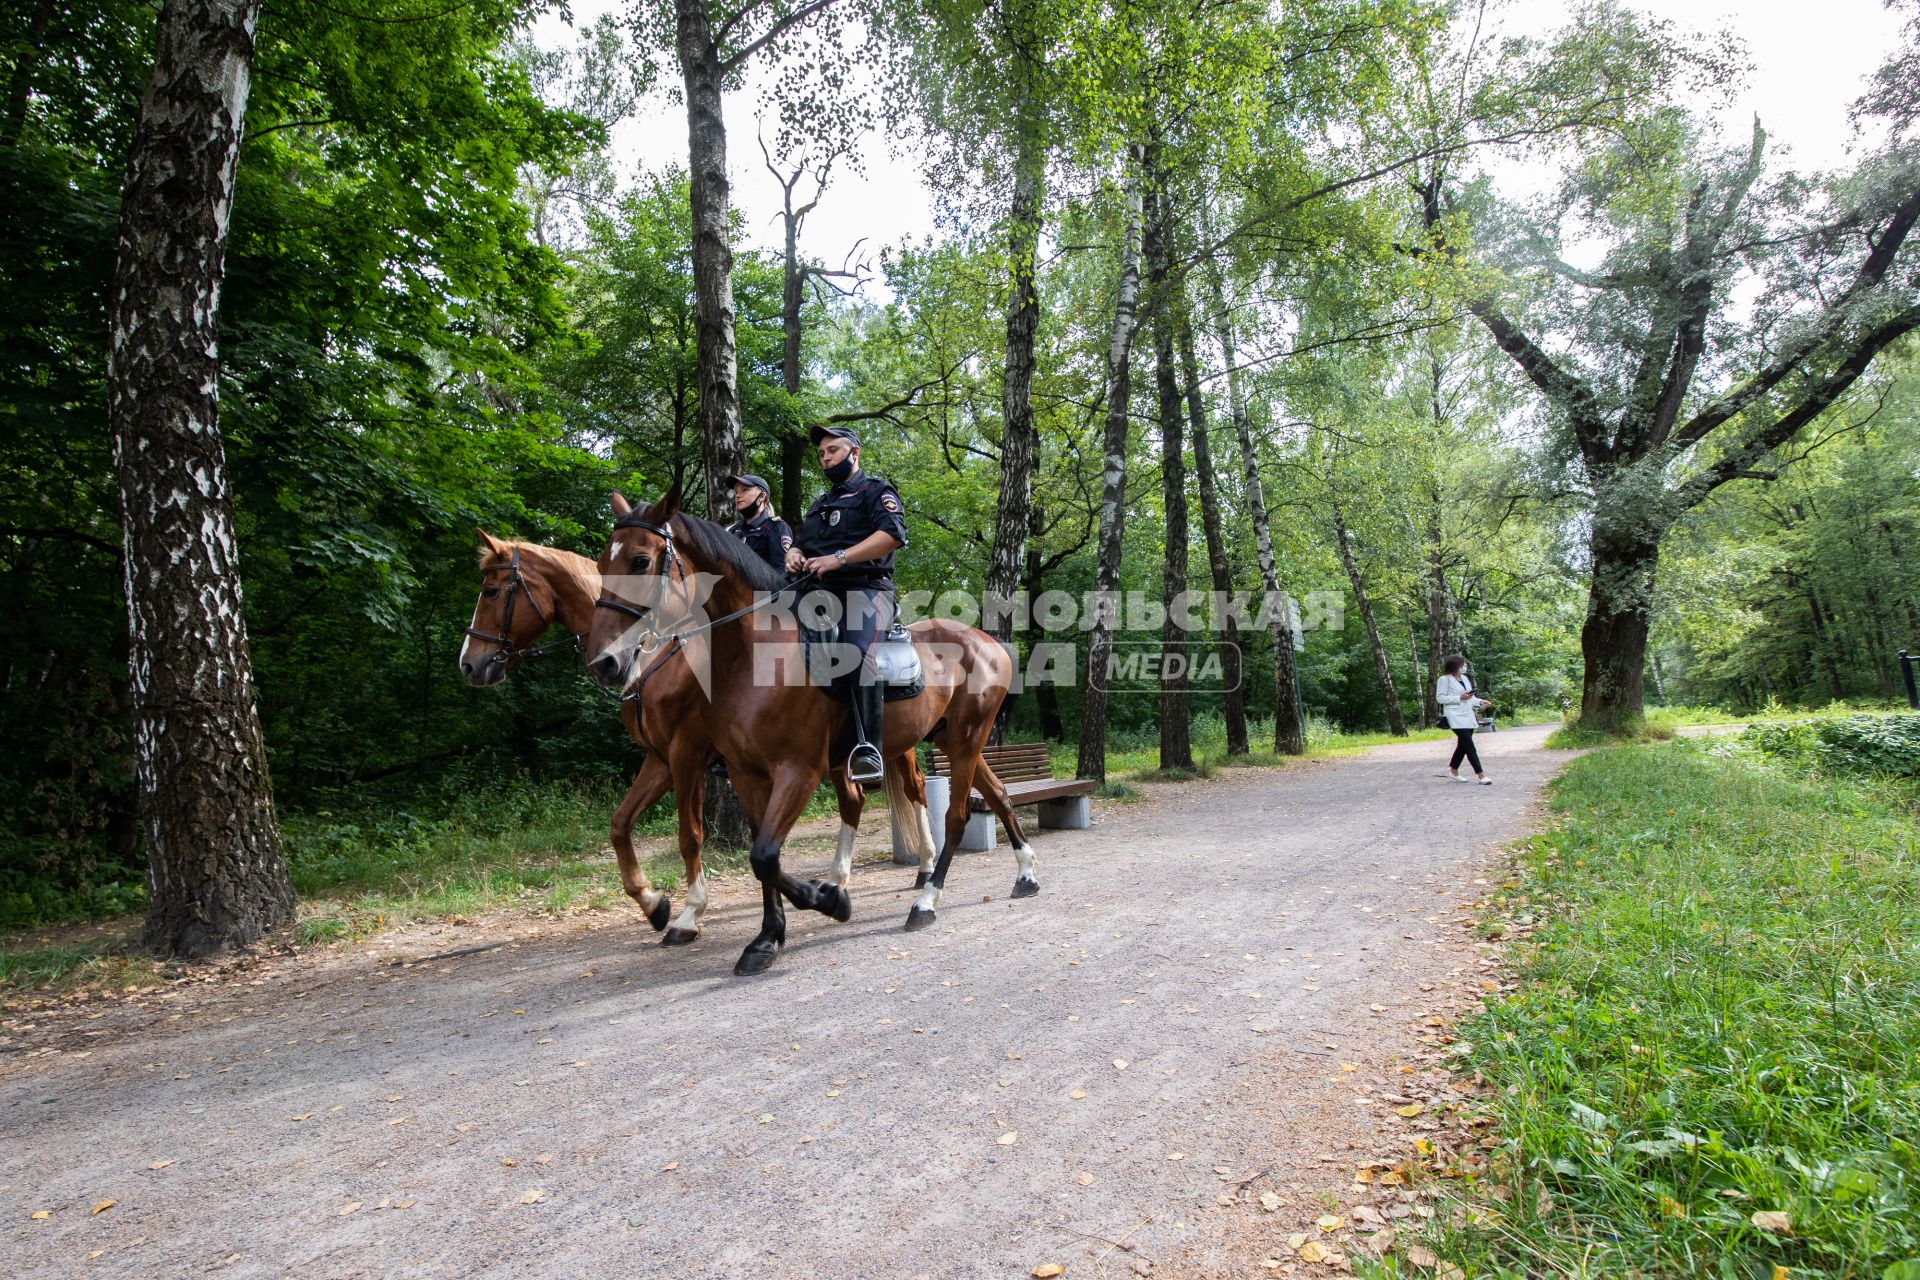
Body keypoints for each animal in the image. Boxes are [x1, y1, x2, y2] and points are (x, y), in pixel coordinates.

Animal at [453, 529, 875, 940]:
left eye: (491, 591)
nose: (469, 665)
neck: (650, 660)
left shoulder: (686, 753)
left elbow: (690, 834)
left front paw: (690, 913)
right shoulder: (659, 759)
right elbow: (620, 824)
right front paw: (653, 903)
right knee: (852, 799)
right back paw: (836, 884)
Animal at [579, 485, 1036, 974]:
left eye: (640, 561)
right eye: (602, 563)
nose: (605, 662)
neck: (752, 657)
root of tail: (987, 641)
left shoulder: (787, 769)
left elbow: (756, 854)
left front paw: (826, 902)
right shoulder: (739, 772)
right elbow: (758, 854)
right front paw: (766, 936)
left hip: (964, 741)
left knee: (955, 815)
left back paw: (925, 899)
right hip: (955, 740)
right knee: (997, 794)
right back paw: (1026, 873)